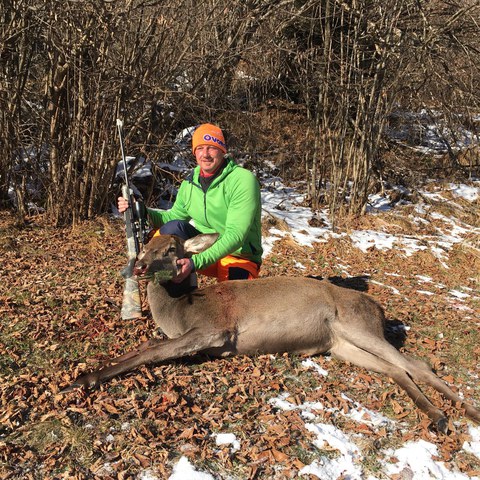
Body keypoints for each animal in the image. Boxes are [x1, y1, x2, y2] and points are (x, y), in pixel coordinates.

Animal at [66, 231, 480, 434]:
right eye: (145, 246)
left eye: (170, 249)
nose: (139, 266)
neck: (180, 310)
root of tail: (378, 308)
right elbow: (144, 347)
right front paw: (81, 378)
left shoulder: (213, 331)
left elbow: (150, 351)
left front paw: (85, 379)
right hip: (340, 346)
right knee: (398, 368)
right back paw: (437, 415)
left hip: (356, 324)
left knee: (419, 364)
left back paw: (456, 414)